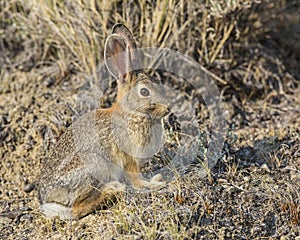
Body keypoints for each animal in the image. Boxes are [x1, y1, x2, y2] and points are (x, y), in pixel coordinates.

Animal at [37, 23, 170, 220]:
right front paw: (153, 184)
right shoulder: (128, 157)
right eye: (145, 92)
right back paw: (113, 190)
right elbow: (136, 179)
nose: (168, 108)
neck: (132, 113)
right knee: (77, 209)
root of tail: (51, 200)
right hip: (95, 165)